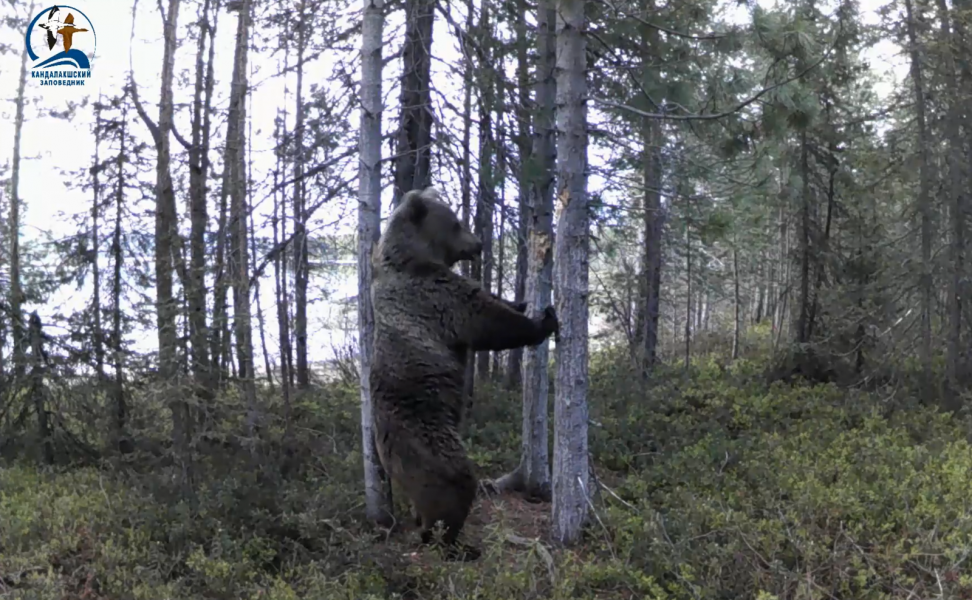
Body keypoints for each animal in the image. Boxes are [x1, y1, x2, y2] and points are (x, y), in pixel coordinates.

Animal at [369, 186, 559, 560]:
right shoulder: (433, 295)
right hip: (426, 441)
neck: (407, 256)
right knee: (454, 484)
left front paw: (521, 301)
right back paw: (455, 544)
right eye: (457, 223)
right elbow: (484, 318)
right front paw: (544, 319)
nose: (479, 243)